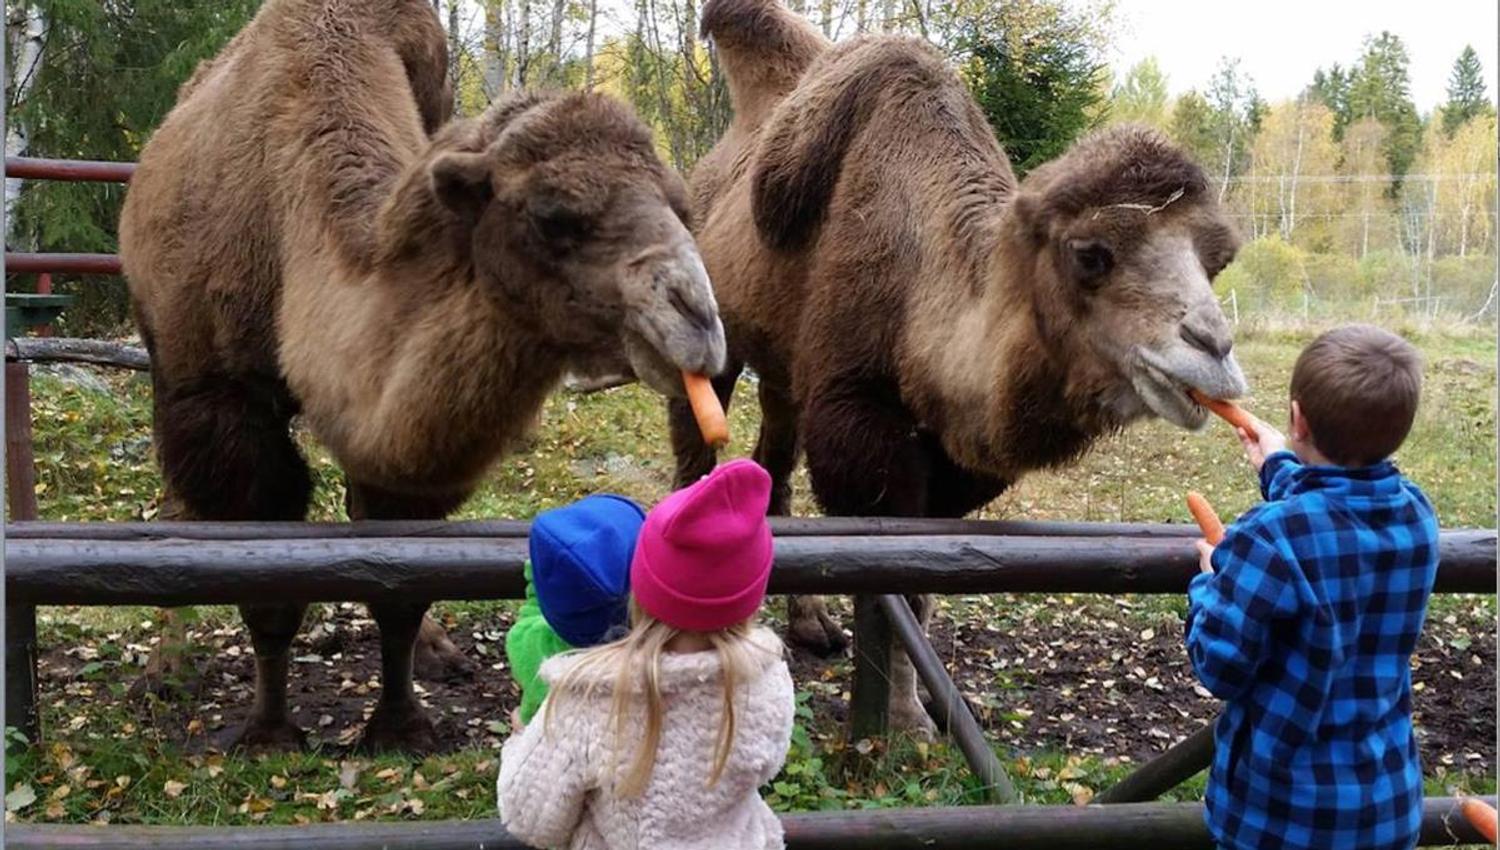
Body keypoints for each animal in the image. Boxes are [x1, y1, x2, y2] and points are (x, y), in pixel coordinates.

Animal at [119, 0, 725, 752]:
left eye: (681, 204)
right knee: (181, 504)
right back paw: (163, 667)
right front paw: (268, 731)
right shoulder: (217, 400)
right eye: (553, 217)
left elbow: (401, 577)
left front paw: (401, 724)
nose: (698, 321)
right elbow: (265, 581)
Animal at [672, 0, 1248, 735]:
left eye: (1218, 259)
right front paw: (904, 722)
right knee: (696, 445)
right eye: (1091, 254)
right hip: (712, 326)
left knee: (771, 460)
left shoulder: (954, 462)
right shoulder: (858, 419)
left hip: (783, 370)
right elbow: (885, 580)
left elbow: (922, 585)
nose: (1214, 349)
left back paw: (809, 625)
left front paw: (925, 708)